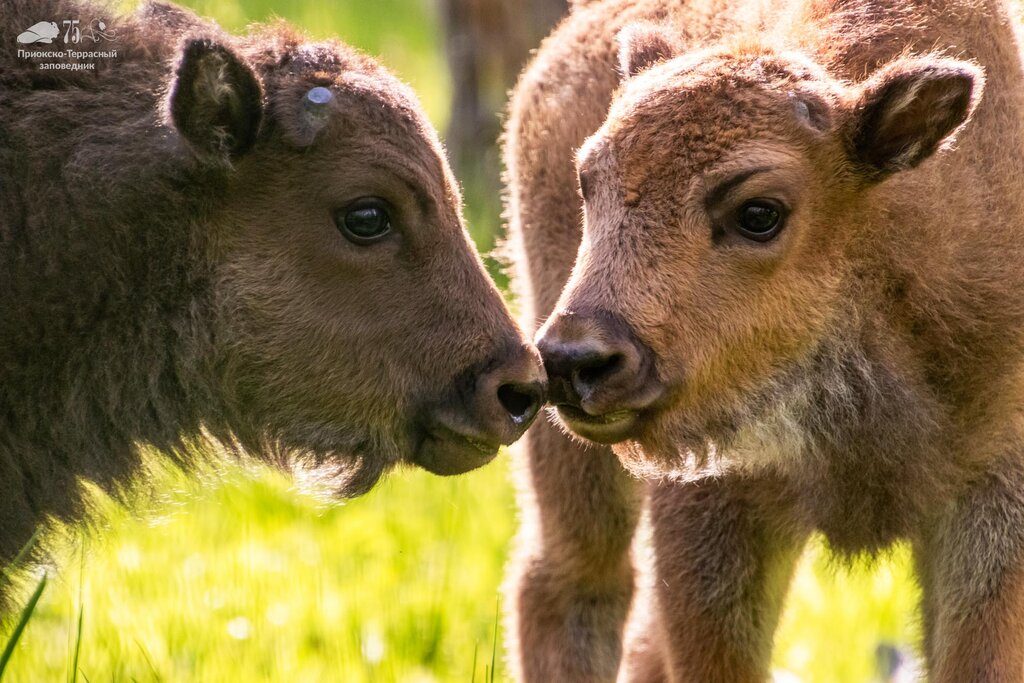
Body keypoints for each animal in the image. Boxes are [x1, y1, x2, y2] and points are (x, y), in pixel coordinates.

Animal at [512, 0, 1024, 679]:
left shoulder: (992, 499)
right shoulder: (715, 507)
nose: (574, 359)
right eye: (588, 182)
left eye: (760, 213)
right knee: (571, 580)